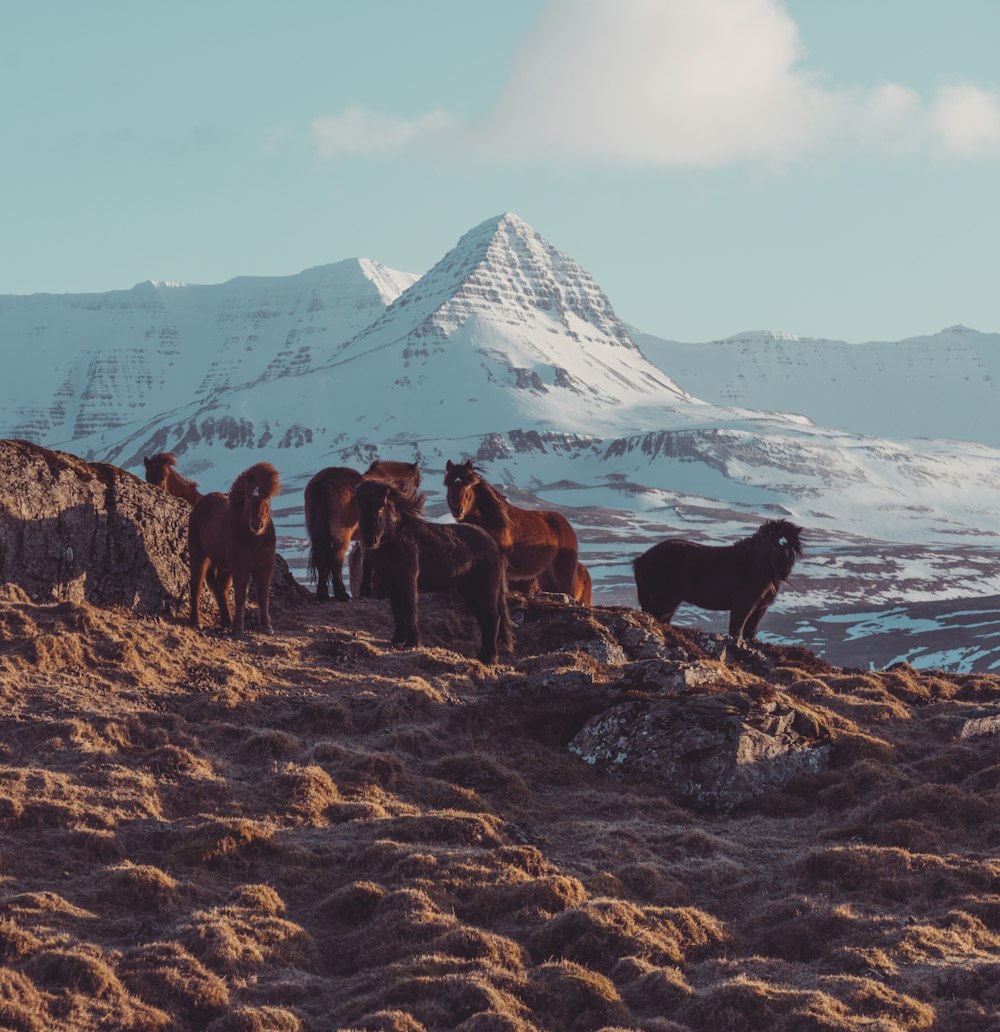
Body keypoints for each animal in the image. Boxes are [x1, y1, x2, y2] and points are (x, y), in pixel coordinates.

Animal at [188, 462, 280, 635]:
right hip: (200, 557)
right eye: (248, 498)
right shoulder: (240, 568)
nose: (256, 525)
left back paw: (227, 621)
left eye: (267, 499)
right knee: (196, 586)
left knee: (220, 588)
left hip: (224, 567)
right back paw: (196, 622)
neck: (255, 541)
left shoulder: (264, 569)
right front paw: (238, 628)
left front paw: (267, 627)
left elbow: (263, 597)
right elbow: (240, 596)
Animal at [301, 456, 416, 602]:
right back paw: (341, 594)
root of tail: (321, 484)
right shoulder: (370, 539)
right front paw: (368, 592)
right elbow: (367, 565)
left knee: (320, 560)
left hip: (317, 534)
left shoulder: (365, 539)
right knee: (335, 560)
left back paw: (323, 594)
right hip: (341, 536)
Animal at [355, 480, 515, 664]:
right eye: (361, 508)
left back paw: (490, 658)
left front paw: (412, 642)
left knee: (493, 619)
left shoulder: (407, 579)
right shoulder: (390, 582)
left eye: (381, 508)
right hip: (470, 592)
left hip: (485, 590)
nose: (370, 540)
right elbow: (396, 609)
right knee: (485, 621)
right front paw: (397, 639)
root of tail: (494, 546)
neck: (394, 539)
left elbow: (409, 608)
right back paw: (481, 657)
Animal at [443, 462, 577, 598]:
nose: (457, 509)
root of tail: (568, 527)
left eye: (468, 485)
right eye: (449, 484)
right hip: (545, 577)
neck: (491, 520)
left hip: (563, 573)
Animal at [631, 520, 804, 639]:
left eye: (791, 546)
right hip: (664, 600)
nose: (783, 571)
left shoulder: (759, 609)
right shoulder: (743, 605)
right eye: (777, 543)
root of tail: (641, 560)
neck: (757, 565)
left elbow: (750, 633)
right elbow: (736, 629)